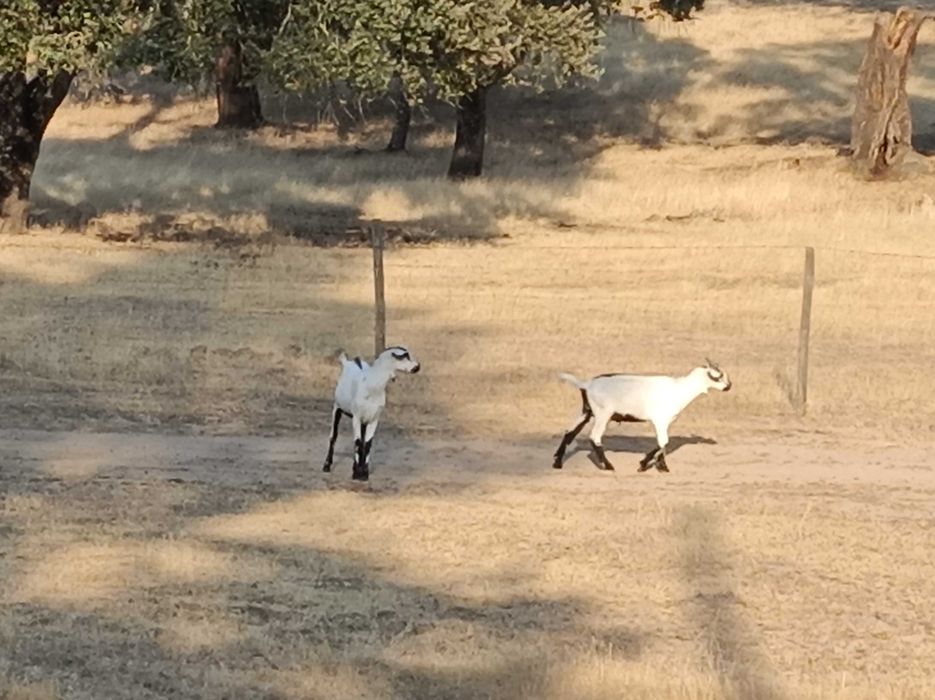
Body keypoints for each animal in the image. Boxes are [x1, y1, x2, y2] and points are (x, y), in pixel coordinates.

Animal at [322, 345, 421, 481]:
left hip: (364, 421)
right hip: (337, 408)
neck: (370, 385)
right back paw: (327, 466)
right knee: (333, 436)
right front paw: (357, 474)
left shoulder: (374, 418)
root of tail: (349, 362)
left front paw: (364, 473)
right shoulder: (356, 417)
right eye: (404, 356)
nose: (417, 367)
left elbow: (367, 444)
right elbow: (358, 442)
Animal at [552, 359, 731, 473]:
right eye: (718, 376)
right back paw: (608, 466)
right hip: (603, 414)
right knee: (594, 437)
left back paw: (557, 462)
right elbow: (663, 442)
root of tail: (587, 384)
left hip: (587, 411)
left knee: (569, 432)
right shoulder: (660, 420)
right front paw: (643, 465)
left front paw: (662, 467)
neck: (679, 388)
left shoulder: (665, 423)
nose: (729, 386)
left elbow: (663, 444)